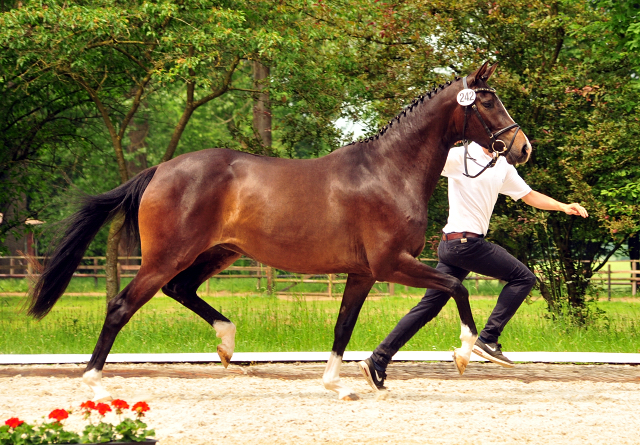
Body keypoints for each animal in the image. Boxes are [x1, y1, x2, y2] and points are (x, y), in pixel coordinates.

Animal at [27, 61, 532, 398]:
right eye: (488, 101)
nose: (521, 147)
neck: (388, 171)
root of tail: (159, 169)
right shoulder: (392, 264)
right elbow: (455, 287)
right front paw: (468, 352)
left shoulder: (363, 273)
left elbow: (343, 326)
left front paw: (338, 383)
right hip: (168, 254)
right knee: (122, 305)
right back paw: (93, 378)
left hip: (218, 252)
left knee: (181, 289)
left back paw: (228, 345)